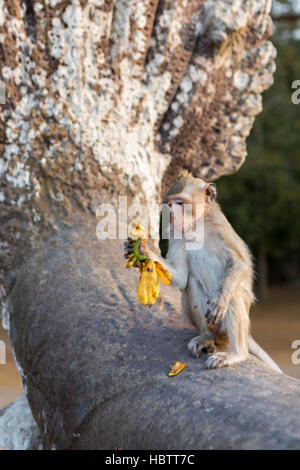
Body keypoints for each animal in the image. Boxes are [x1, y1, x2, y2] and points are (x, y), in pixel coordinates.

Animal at [138, 171, 282, 372]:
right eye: (170, 203)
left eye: (180, 203)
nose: (172, 214)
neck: (197, 225)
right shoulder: (176, 233)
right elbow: (181, 277)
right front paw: (146, 250)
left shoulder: (219, 229)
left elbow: (239, 265)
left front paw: (221, 299)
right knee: (191, 283)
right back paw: (207, 337)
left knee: (235, 294)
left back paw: (237, 353)